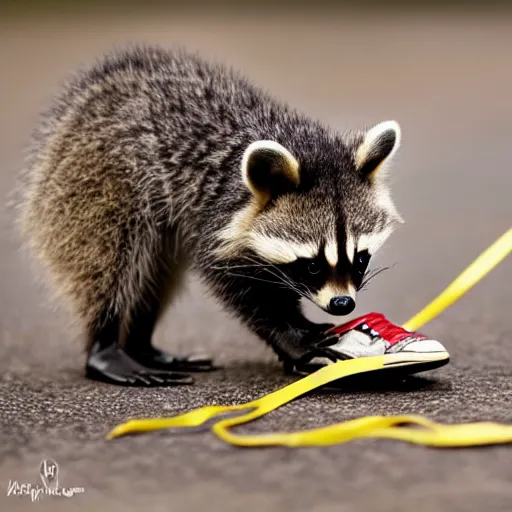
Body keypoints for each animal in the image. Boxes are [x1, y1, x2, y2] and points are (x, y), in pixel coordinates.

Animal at [16, 46, 404, 386]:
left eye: (360, 259)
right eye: (311, 265)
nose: (342, 304)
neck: (302, 146)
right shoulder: (215, 215)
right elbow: (240, 287)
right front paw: (293, 338)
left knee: (155, 274)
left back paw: (141, 342)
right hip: (96, 185)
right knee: (110, 264)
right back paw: (105, 343)